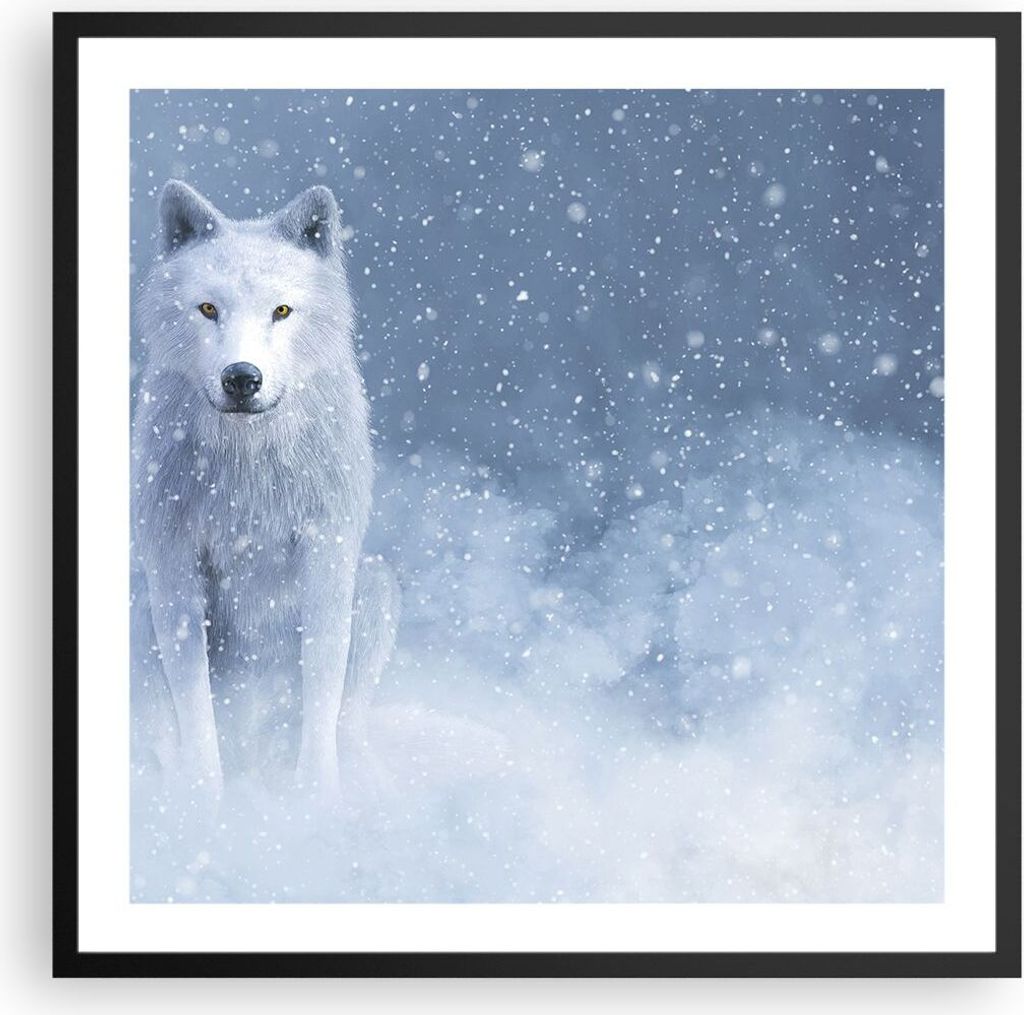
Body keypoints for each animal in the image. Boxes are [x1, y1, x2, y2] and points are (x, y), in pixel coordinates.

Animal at [131, 180, 399, 800]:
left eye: (281, 310)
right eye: (209, 308)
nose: (241, 378)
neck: (247, 468)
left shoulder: (326, 554)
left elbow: (321, 681)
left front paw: (315, 800)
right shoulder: (173, 563)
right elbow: (194, 701)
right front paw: (204, 800)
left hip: (376, 585)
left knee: (346, 720)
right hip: (139, 602)